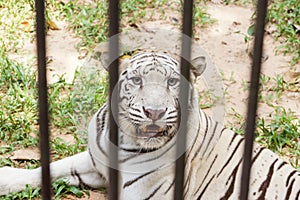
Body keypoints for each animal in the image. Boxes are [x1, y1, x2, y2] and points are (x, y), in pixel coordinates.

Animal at [0, 51, 298, 198]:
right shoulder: (97, 164)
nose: (154, 112)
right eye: (136, 81)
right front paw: (7, 178)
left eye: (172, 82)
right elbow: (55, 167)